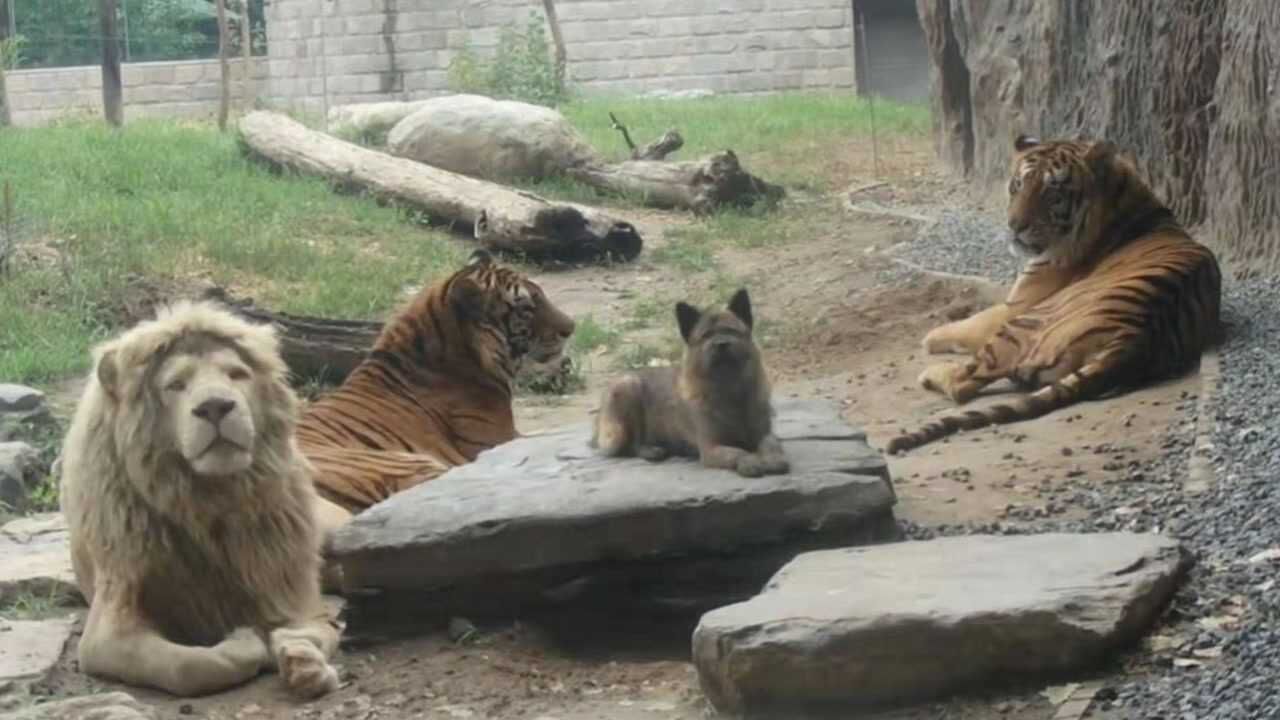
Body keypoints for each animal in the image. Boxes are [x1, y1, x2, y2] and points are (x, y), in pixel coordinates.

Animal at [885, 134, 1221, 455]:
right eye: (1018, 185)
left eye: (1052, 193)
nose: (1014, 226)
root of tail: (1133, 341)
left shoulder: (1017, 305)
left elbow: (971, 322)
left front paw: (931, 336)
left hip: (1022, 326)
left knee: (964, 383)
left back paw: (931, 374)